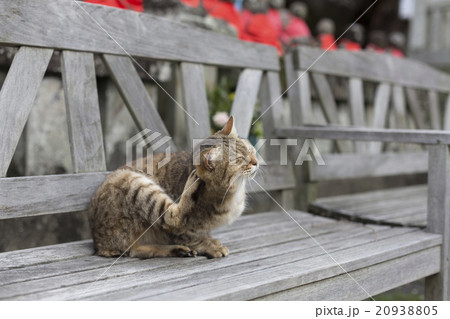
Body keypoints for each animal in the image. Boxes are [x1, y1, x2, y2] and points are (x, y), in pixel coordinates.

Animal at [88, 117, 258, 260]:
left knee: (137, 251)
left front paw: (210, 240)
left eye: (250, 150)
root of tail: (100, 245)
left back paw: (178, 250)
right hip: (137, 183)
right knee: (171, 219)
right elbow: (191, 237)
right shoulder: (185, 231)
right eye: (239, 159)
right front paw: (210, 246)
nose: (256, 162)